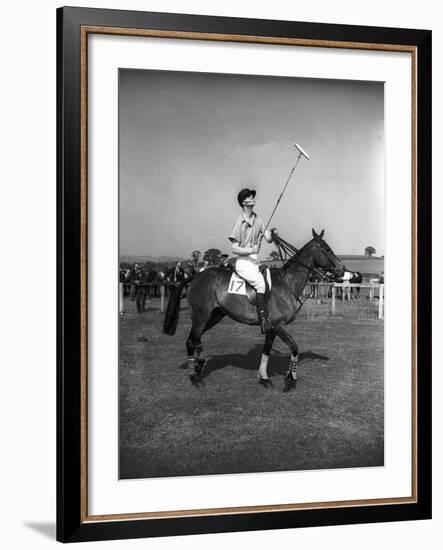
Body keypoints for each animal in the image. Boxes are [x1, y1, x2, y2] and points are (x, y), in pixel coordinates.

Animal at [163, 229, 344, 392]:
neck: (287, 283)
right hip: (201, 317)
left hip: (214, 316)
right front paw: (290, 379)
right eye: (326, 249)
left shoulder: (271, 328)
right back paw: (194, 377)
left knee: (196, 339)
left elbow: (266, 351)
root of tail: (196, 276)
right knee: (191, 340)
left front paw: (264, 378)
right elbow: (294, 348)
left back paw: (199, 364)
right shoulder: (278, 325)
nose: (342, 269)